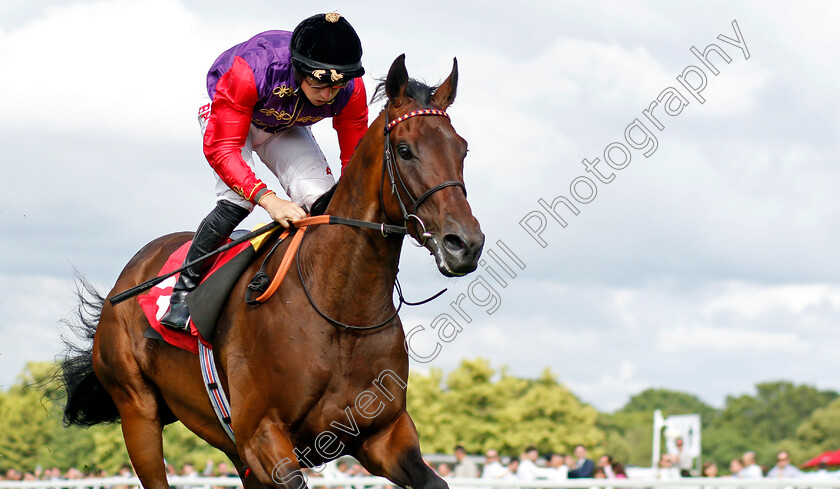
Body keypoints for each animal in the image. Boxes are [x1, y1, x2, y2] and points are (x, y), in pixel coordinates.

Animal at [60, 55, 486, 488]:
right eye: (404, 150)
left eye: (462, 149)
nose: (464, 243)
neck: (342, 314)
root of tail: (127, 277)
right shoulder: (263, 437)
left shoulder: (382, 433)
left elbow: (433, 480)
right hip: (138, 412)